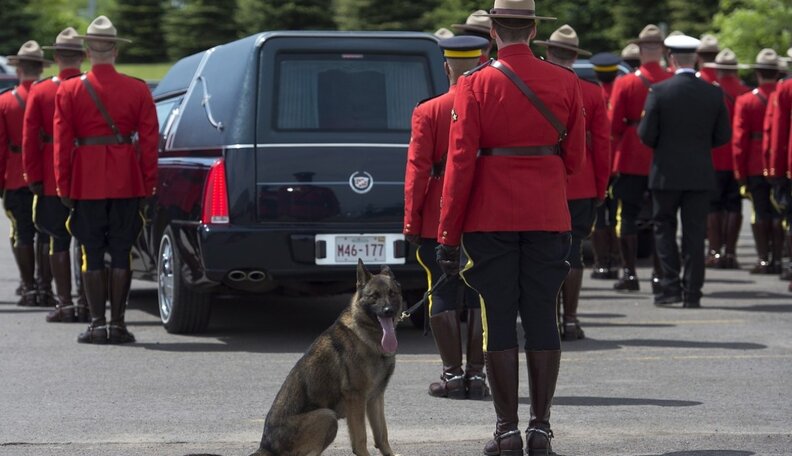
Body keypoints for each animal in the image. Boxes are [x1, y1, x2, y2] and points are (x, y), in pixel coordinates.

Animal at [249, 259, 403, 456]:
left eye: (392, 293)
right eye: (374, 296)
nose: (388, 310)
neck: (367, 335)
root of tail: (265, 447)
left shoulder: (375, 397)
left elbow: (382, 435)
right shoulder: (356, 398)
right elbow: (361, 439)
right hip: (327, 416)